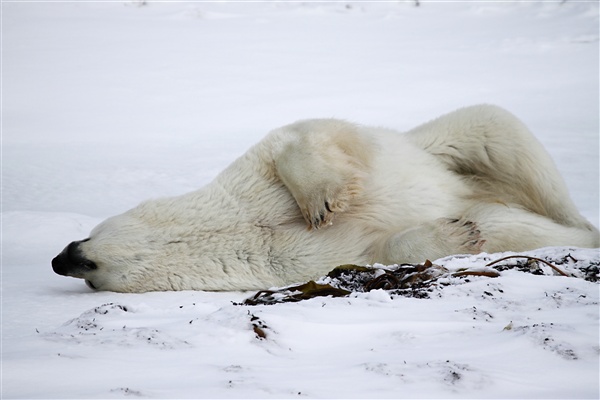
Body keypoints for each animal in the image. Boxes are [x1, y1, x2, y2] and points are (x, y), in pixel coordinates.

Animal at [52, 104, 600, 292]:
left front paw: (322, 201)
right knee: (512, 223)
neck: (228, 224)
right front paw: (456, 233)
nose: (60, 259)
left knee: (503, 135)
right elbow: (366, 249)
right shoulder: (283, 259)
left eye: (86, 253)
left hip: (446, 145)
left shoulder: (250, 178)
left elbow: (303, 137)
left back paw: (585, 226)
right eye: (88, 271)